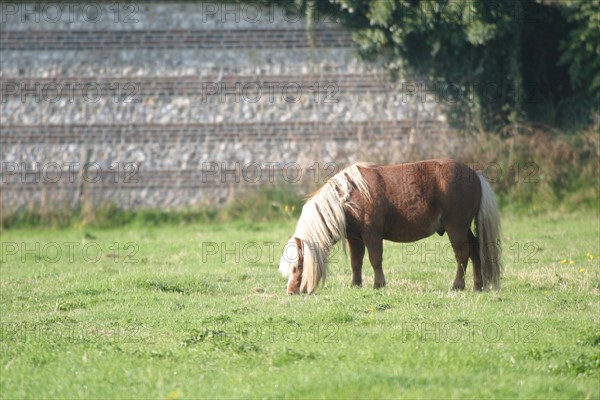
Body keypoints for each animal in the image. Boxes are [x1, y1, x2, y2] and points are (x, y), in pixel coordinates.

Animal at [280, 159, 502, 294]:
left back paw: (458, 286)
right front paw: (355, 285)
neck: (349, 197)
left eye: (298, 266)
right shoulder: (355, 239)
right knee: (475, 250)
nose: (291, 292)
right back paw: (478, 286)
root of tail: (475, 175)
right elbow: (356, 262)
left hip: (455, 227)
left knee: (463, 254)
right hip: (464, 229)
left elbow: (375, 260)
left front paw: (378, 285)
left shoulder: (372, 234)